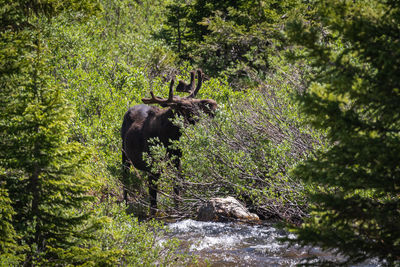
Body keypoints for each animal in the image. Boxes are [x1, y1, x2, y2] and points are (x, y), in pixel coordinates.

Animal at [121, 70, 217, 217]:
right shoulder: (153, 166)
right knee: (124, 179)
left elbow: (176, 187)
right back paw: (125, 203)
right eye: (185, 107)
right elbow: (153, 197)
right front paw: (154, 215)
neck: (170, 136)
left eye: (195, 102)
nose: (213, 104)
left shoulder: (177, 160)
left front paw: (178, 209)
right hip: (124, 153)